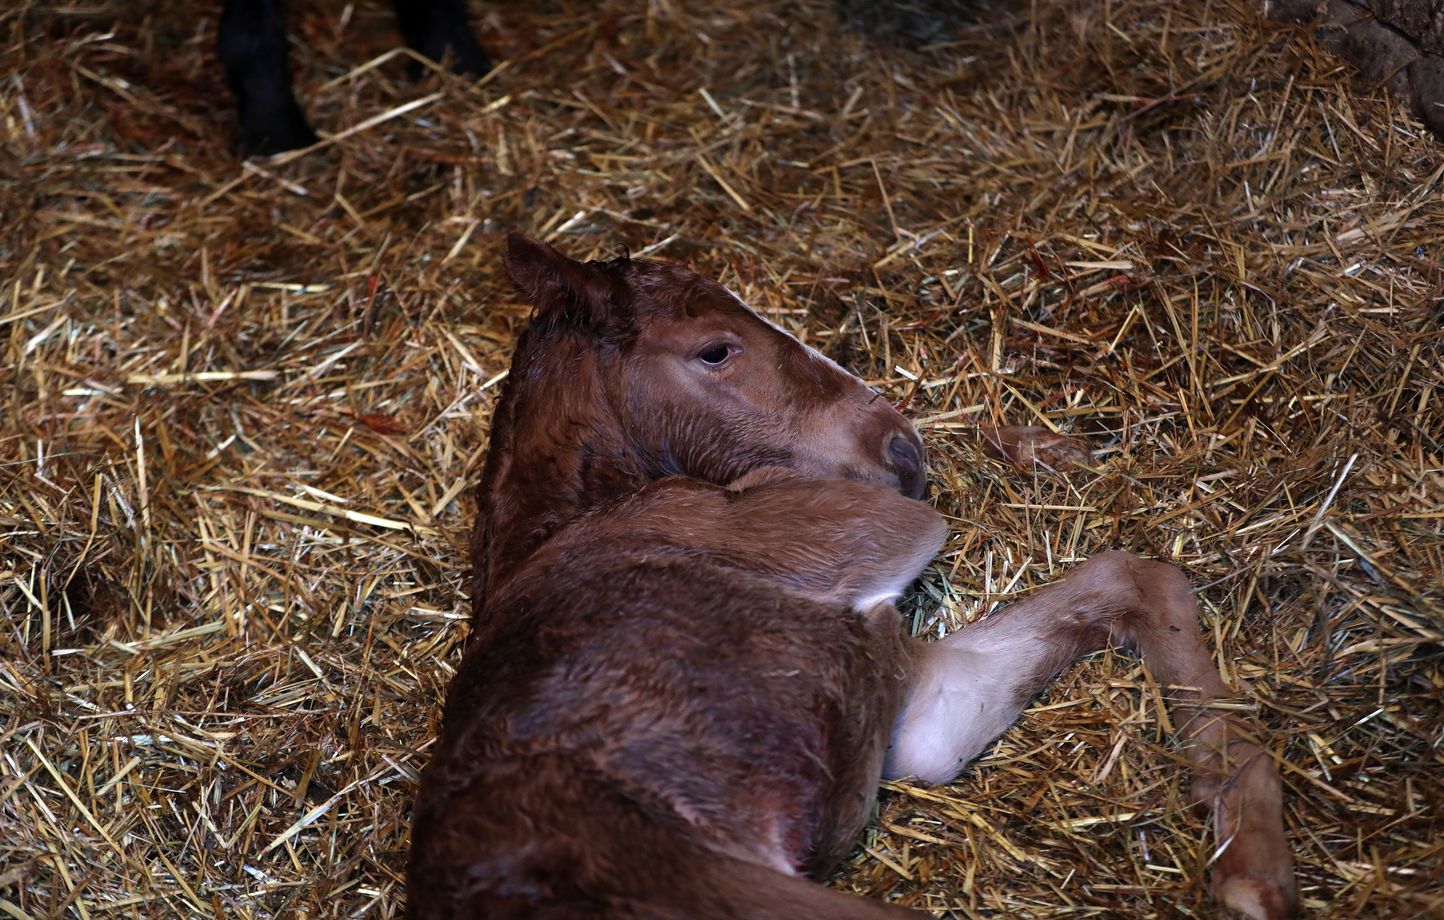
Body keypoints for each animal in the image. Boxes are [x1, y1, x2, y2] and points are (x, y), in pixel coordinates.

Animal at [410, 238, 1299, 918]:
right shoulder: (868, 535)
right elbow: (1136, 571)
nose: (900, 450)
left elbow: (1124, 587)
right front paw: (1254, 861)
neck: (567, 523)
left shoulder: (913, 723)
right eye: (714, 347)